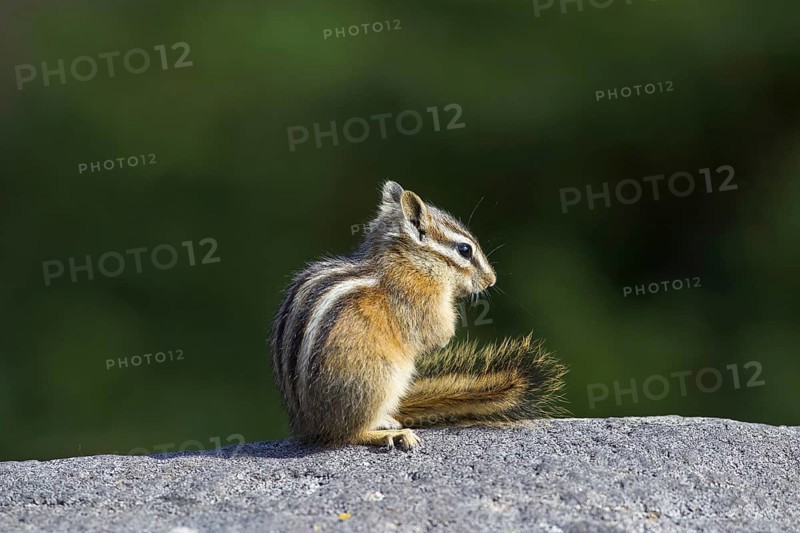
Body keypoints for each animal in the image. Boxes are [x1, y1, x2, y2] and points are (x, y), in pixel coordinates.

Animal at [270, 181, 567, 451]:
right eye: (464, 250)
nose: (491, 280)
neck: (409, 262)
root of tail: (309, 428)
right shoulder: (419, 300)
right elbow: (436, 332)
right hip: (373, 380)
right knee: (346, 435)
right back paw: (389, 435)